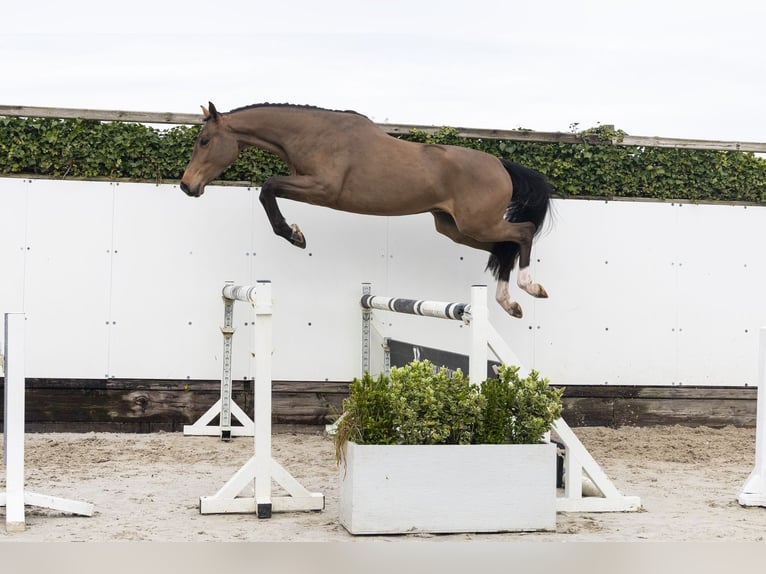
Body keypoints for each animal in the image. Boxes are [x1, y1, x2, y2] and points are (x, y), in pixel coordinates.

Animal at [180, 102, 554, 318]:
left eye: (204, 141)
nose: (186, 185)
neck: (312, 133)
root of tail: (501, 164)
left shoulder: (322, 189)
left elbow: (268, 187)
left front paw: (294, 235)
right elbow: (269, 190)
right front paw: (295, 233)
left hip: (477, 223)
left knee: (522, 233)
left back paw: (531, 287)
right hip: (454, 228)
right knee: (504, 247)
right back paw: (510, 303)